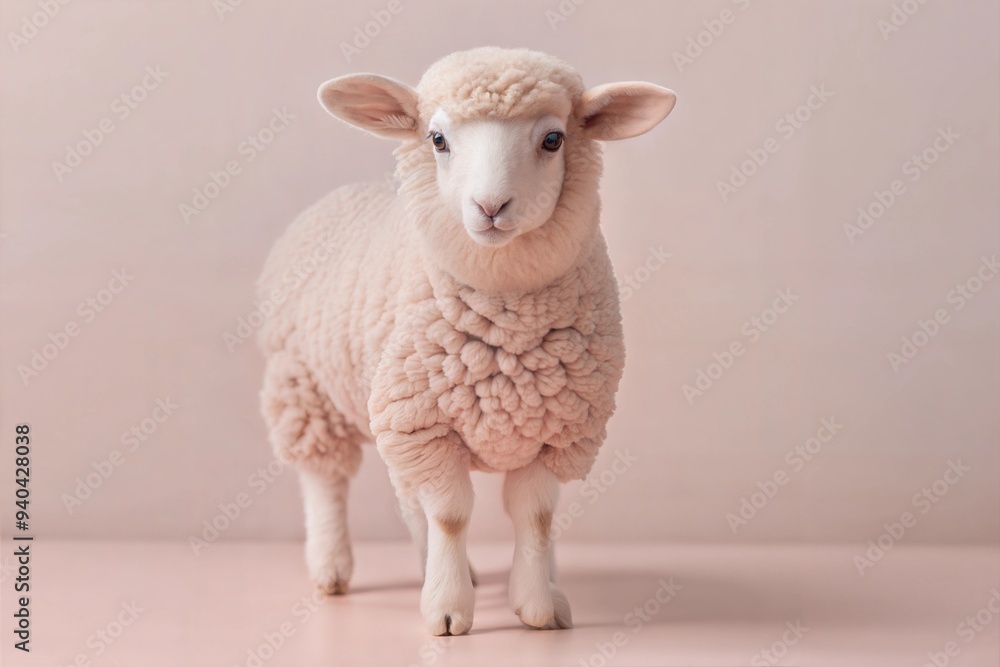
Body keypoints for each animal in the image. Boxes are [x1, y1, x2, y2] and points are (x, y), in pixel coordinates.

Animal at [256, 46, 676, 636]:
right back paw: (332, 567)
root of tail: (344, 193)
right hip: (305, 388)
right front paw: (449, 610)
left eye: (554, 139)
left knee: (409, 500)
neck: (507, 324)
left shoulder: (558, 428)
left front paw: (538, 604)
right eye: (437, 139)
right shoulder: (425, 422)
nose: (491, 207)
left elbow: (535, 515)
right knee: (325, 480)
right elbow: (452, 516)